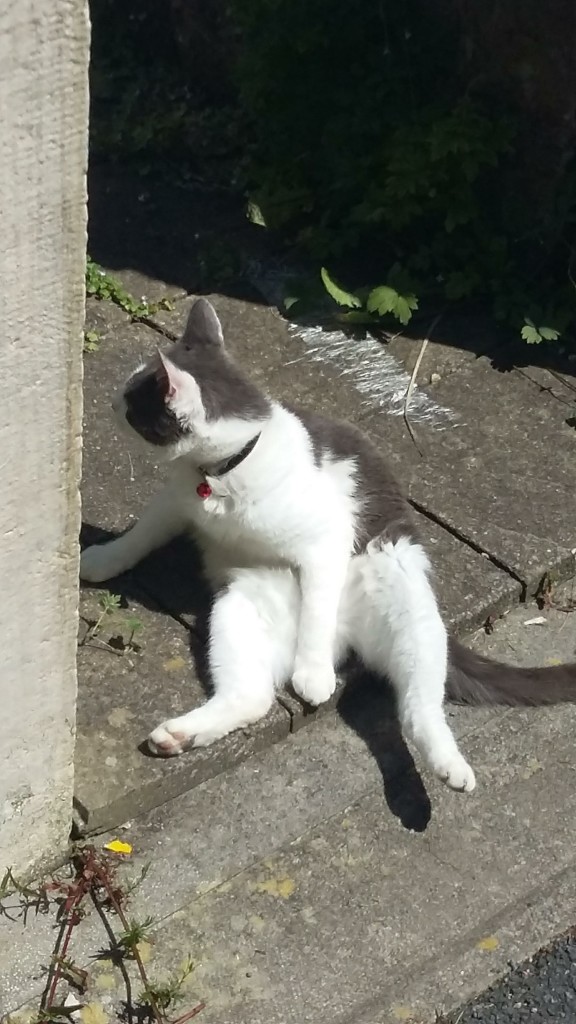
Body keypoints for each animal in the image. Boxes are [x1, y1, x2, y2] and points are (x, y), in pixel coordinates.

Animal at [79, 296, 573, 790]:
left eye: (132, 400)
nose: (110, 401)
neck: (224, 473)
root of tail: (347, 639)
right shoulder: (176, 501)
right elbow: (141, 534)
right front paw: (101, 560)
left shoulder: (327, 541)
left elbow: (317, 607)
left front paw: (313, 675)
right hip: (239, 607)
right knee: (253, 696)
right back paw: (179, 735)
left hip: (404, 597)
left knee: (418, 707)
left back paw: (448, 767)